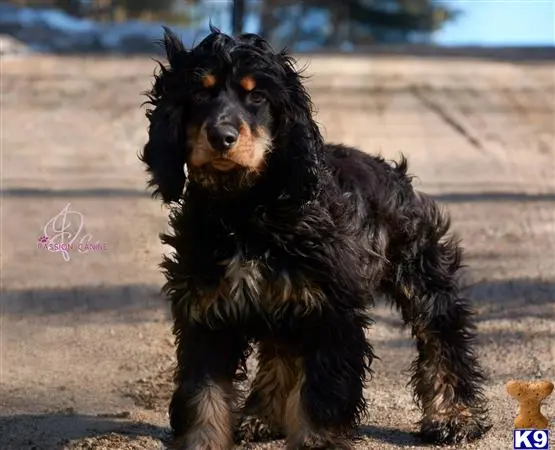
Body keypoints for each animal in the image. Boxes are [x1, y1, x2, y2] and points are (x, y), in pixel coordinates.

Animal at [139, 27, 490, 450]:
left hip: (419, 269)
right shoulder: (205, 309)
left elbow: (320, 393)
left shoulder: (329, 311)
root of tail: (391, 170)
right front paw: (202, 441)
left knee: (441, 333)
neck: (245, 211)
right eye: (200, 92)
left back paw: (454, 416)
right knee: (280, 352)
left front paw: (317, 440)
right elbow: (203, 395)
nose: (221, 136)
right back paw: (262, 416)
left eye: (258, 96)